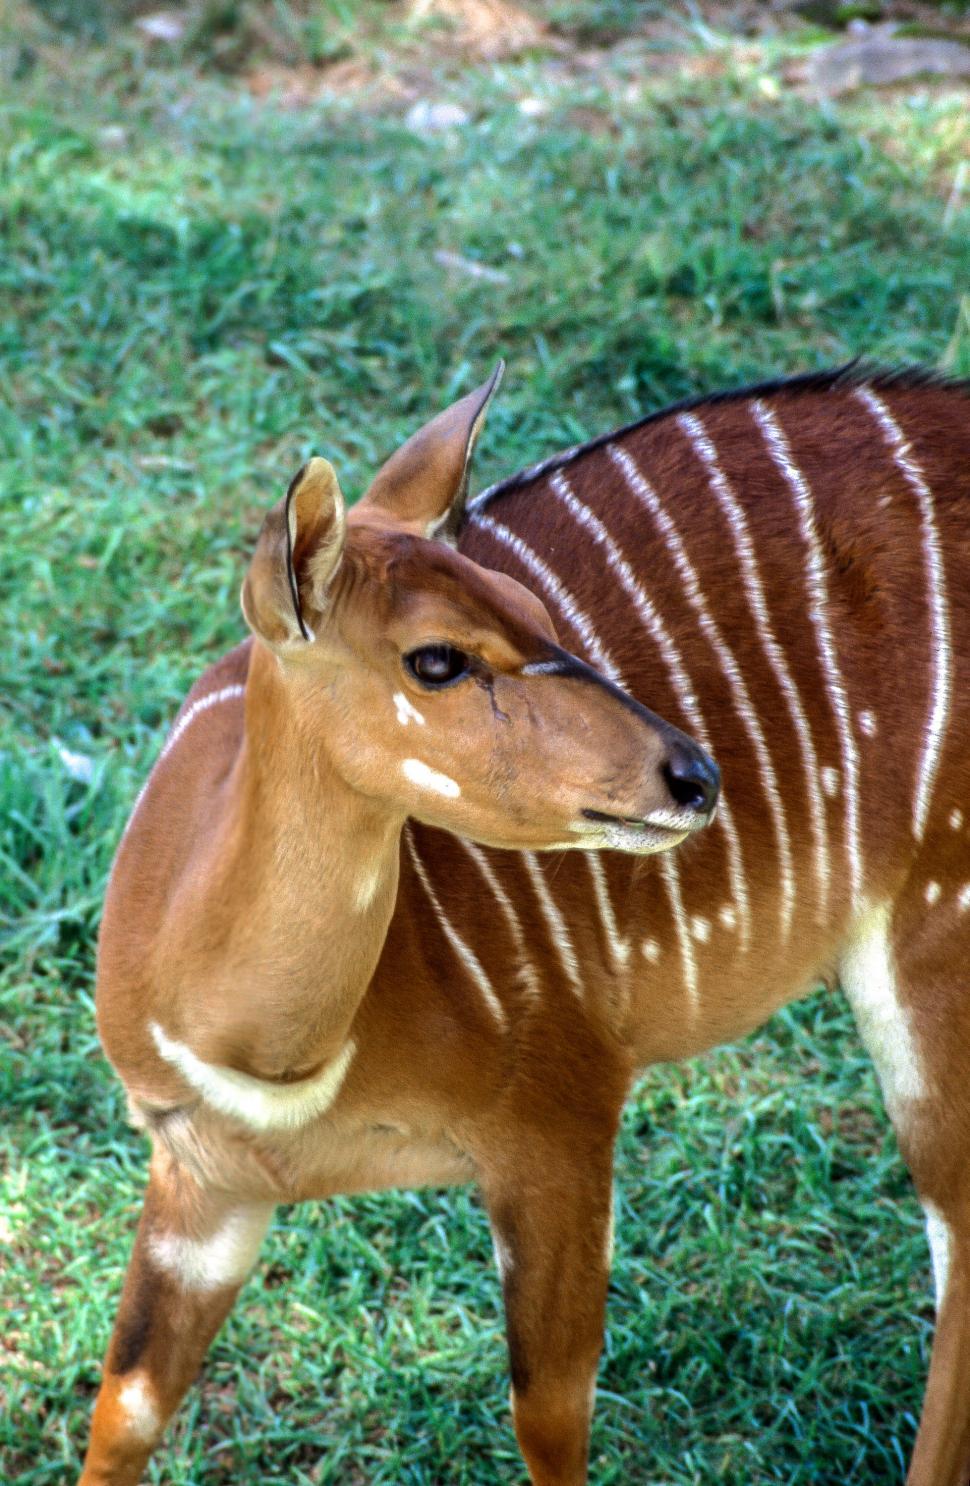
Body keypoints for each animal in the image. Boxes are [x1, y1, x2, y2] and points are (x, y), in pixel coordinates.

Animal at [79, 360, 970, 1486]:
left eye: (535, 607)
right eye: (437, 659)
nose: (694, 773)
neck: (271, 1059)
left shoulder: (559, 1120)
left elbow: (548, 1416)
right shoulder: (201, 1184)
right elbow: (125, 1406)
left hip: (936, 939)